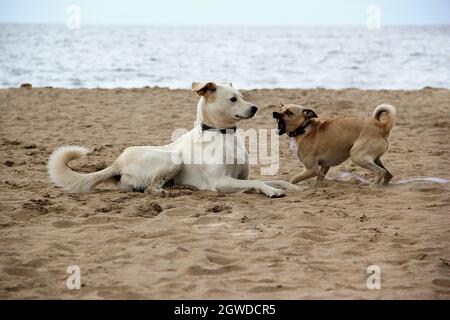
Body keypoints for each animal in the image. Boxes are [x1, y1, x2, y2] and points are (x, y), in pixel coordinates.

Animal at [48, 82, 298, 198]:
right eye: (233, 99)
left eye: (243, 96)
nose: (255, 108)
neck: (223, 134)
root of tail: (117, 162)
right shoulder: (221, 182)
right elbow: (258, 183)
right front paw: (271, 191)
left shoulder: (241, 177)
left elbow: (277, 180)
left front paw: (292, 186)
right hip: (172, 158)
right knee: (150, 188)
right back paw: (167, 191)